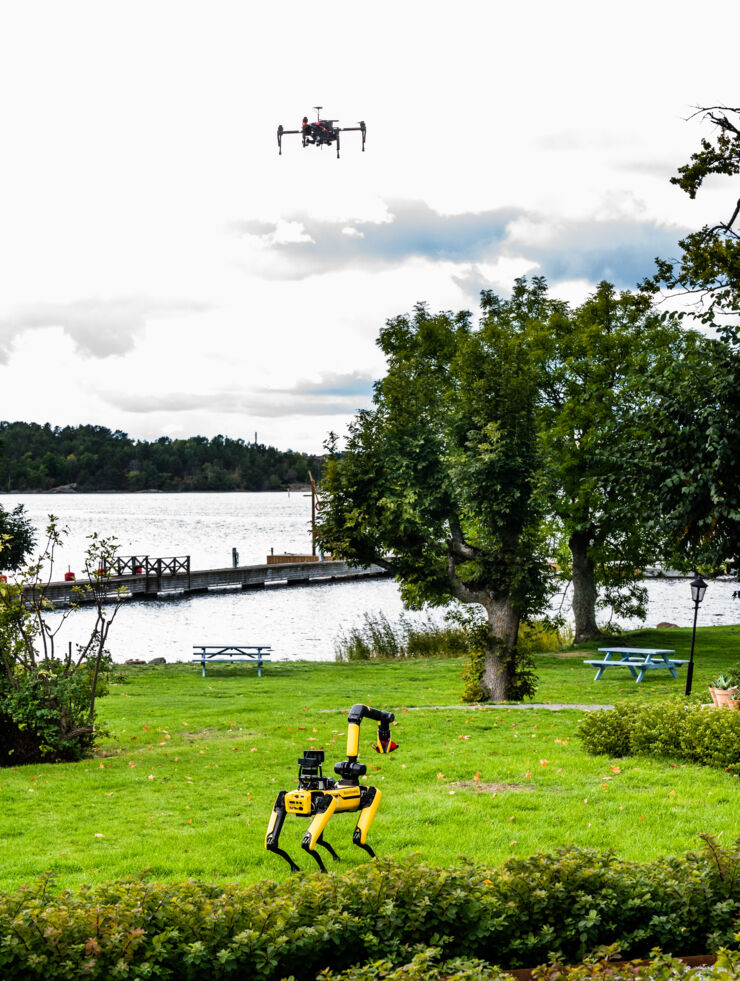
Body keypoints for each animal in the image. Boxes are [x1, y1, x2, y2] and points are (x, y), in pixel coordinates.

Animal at [266, 704, 398, 872]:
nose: (389, 718)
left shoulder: (327, 801)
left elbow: (307, 842)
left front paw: (322, 869)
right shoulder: (283, 799)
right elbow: (272, 841)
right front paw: (297, 867)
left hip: (369, 795)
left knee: (356, 836)